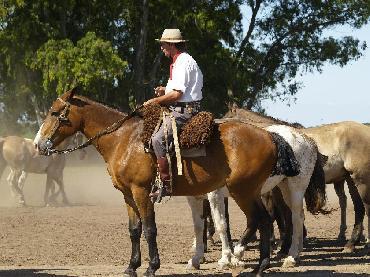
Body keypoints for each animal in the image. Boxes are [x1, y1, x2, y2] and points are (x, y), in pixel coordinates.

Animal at [186, 124, 326, 268]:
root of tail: (308, 139)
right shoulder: (195, 197)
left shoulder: (215, 194)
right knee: (295, 216)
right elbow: (199, 226)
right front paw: (197, 257)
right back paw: (295, 251)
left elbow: (221, 223)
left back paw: (291, 256)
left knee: (295, 218)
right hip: (283, 188)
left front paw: (225, 258)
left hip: (295, 188)